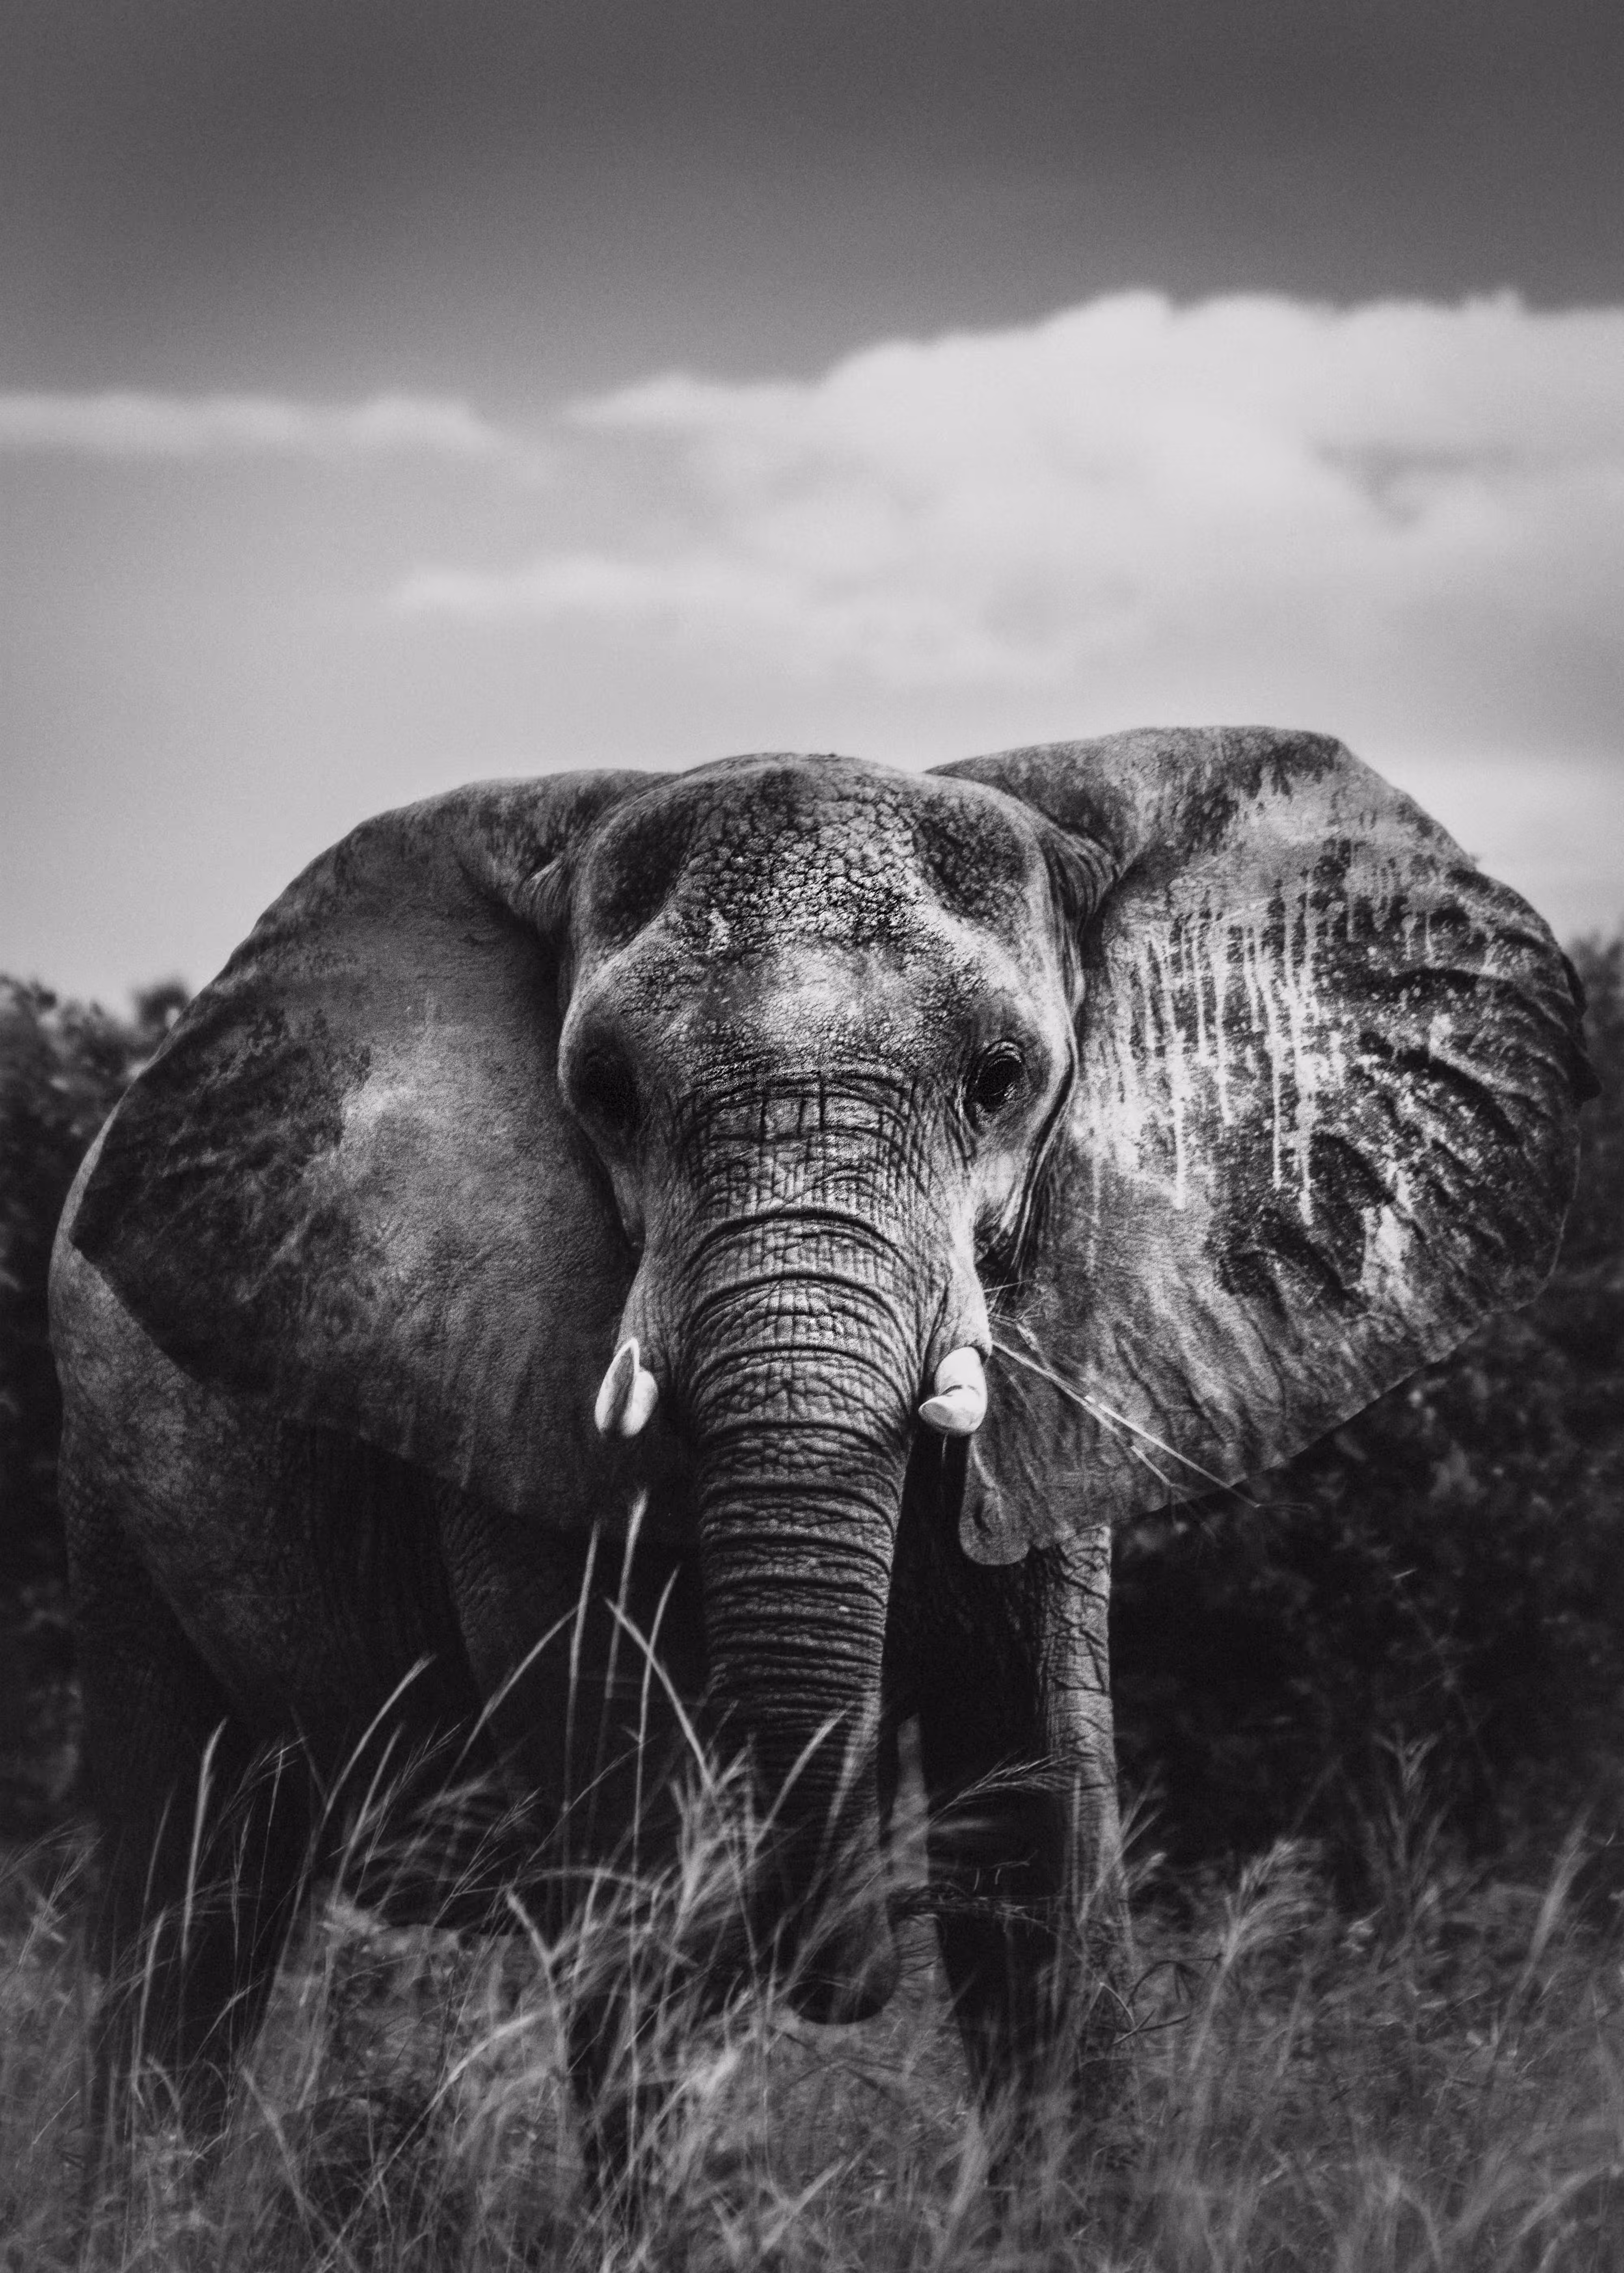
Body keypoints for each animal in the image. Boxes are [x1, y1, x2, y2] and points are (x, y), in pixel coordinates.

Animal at [51, 730, 1590, 2177]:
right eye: (605, 1091)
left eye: (1001, 1080)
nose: (845, 1964)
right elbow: (638, 1846)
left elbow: (1038, 1825)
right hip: (108, 1483)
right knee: (185, 1883)